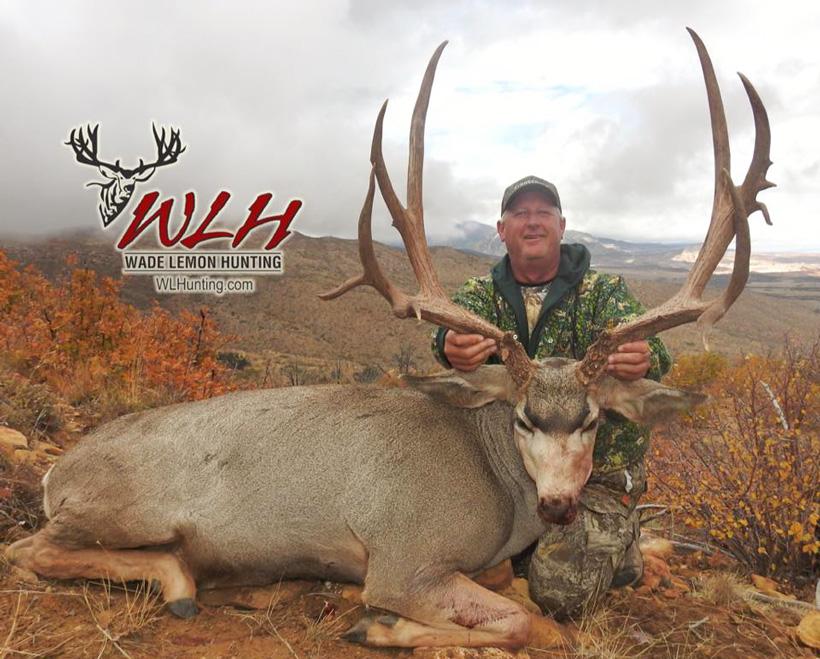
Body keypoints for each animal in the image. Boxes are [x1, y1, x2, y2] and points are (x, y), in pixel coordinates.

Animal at [6, 29, 771, 649]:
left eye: (591, 420)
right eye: (524, 418)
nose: (558, 505)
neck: (492, 475)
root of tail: (54, 473)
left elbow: (520, 607)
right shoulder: (404, 556)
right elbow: (527, 623)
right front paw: (374, 625)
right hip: (114, 512)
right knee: (31, 551)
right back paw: (184, 582)